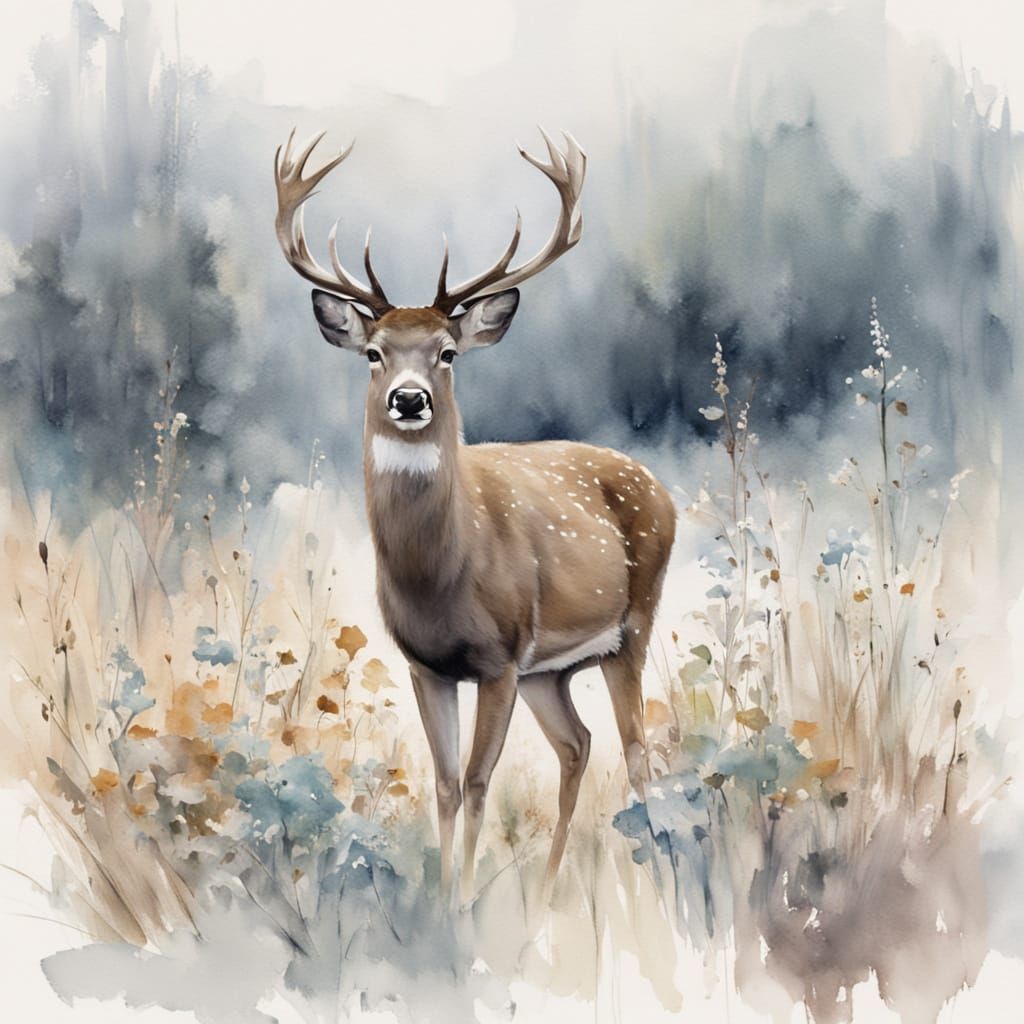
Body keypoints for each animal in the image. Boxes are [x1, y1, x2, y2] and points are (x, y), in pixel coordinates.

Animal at [274, 128, 676, 905]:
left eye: (448, 353)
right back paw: (546, 892)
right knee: (579, 745)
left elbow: (481, 780)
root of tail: (660, 488)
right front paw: (442, 899)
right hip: (552, 669)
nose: (409, 399)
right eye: (374, 353)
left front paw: (463, 900)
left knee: (638, 752)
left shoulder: (499, 658)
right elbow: (446, 784)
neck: (442, 580)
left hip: (630, 626)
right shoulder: (428, 665)